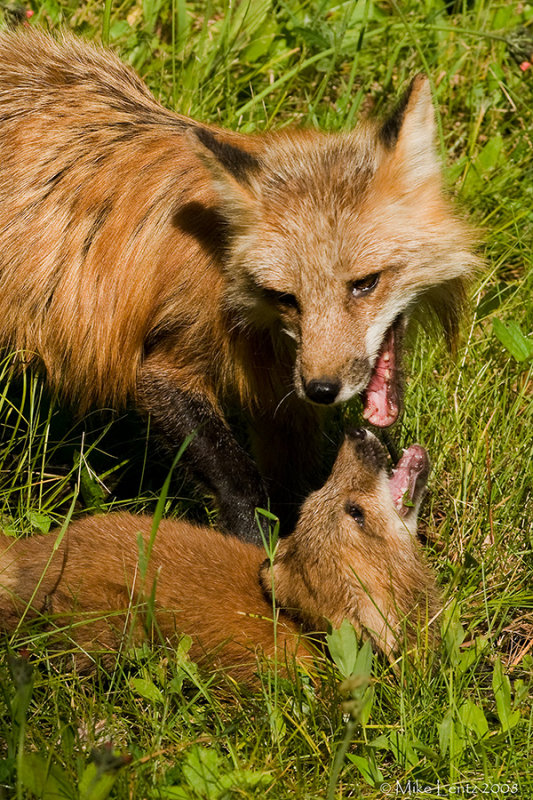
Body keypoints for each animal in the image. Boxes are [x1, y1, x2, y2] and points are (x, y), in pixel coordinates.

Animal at [0, 31, 478, 544]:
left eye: (365, 283)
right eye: (287, 298)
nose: (321, 389)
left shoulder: (281, 403)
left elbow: (298, 488)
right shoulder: (163, 365)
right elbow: (240, 482)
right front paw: (256, 548)